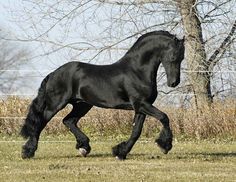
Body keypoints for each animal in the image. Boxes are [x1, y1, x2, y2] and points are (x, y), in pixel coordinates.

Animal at [20, 30, 184, 159]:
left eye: (182, 58)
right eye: (173, 57)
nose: (174, 83)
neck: (137, 71)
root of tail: (53, 74)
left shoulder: (140, 107)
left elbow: (136, 131)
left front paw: (120, 152)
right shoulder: (141, 104)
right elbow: (164, 117)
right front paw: (165, 146)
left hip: (82, 105)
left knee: (69, 121)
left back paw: (84, 147)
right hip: (56, 104)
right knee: (41, 122)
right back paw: (28, 152)